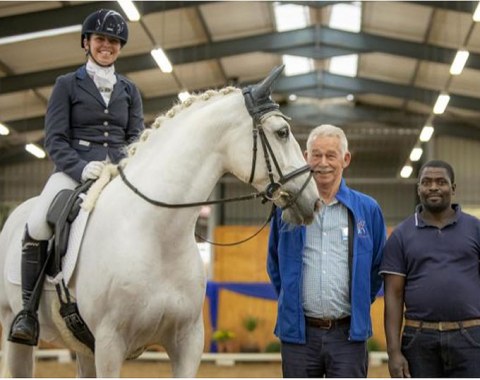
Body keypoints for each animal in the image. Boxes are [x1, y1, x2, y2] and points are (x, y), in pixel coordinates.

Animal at [0, 66, 318, 378]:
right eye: (282, 132)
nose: (313, 200)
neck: (158, 235)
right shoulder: (109, 344)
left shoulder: (188, 342)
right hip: (16, 331)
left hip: (82, 348)